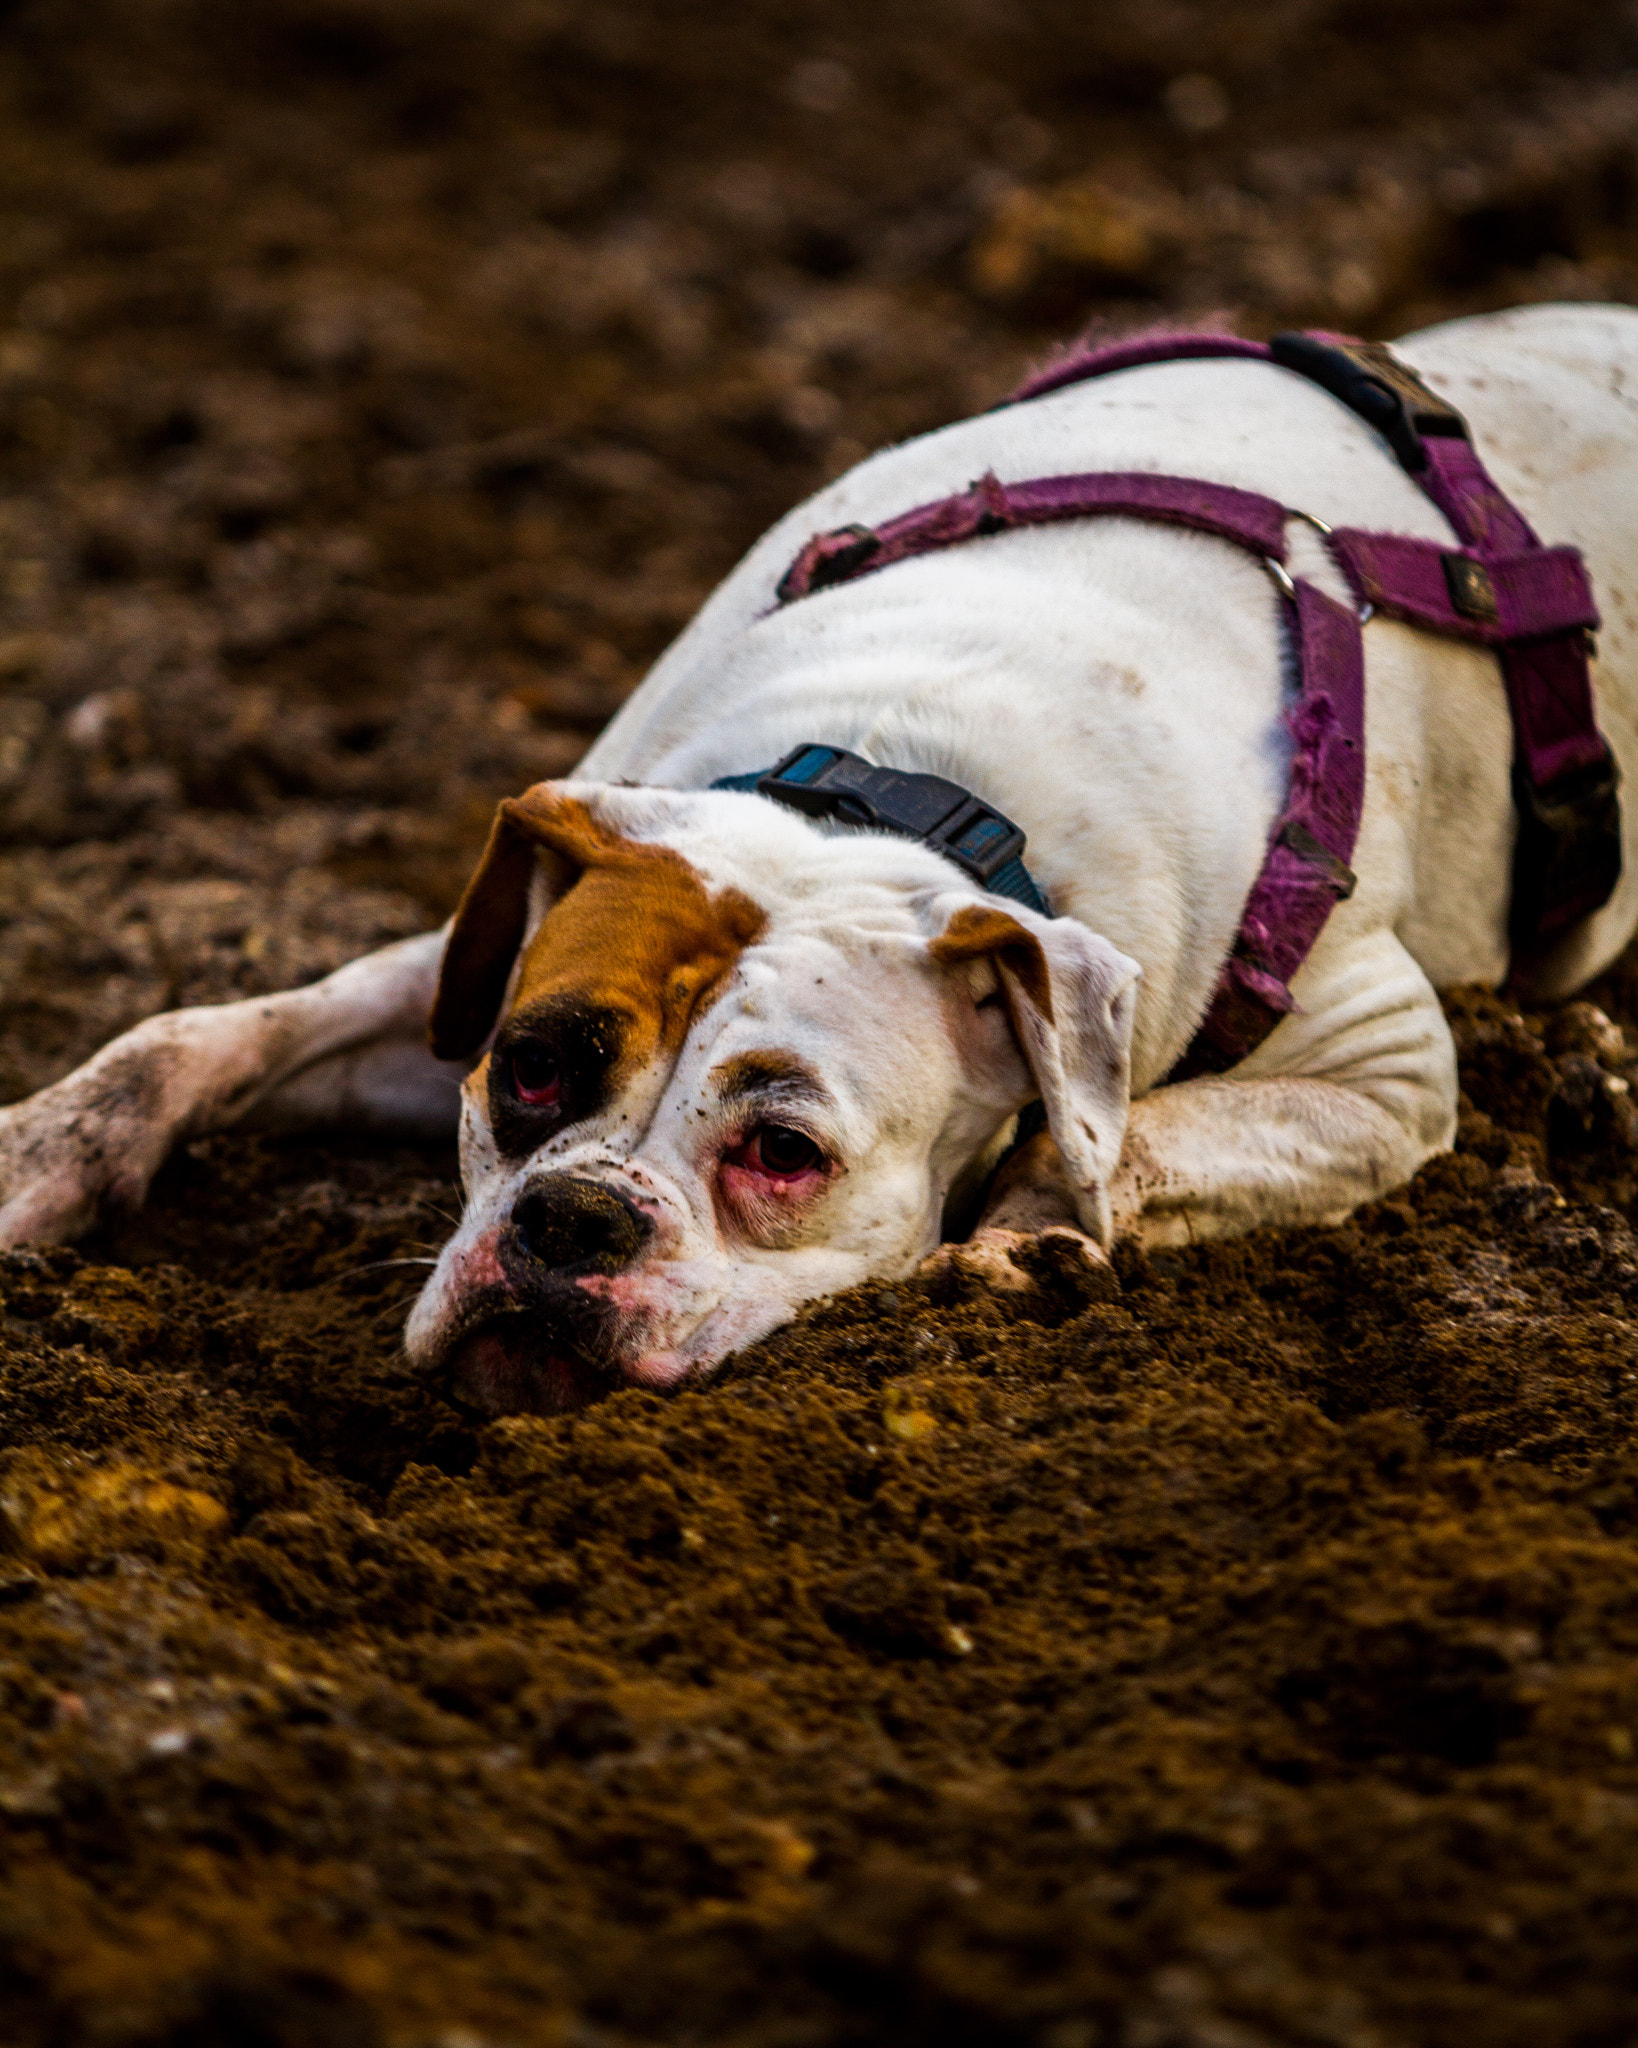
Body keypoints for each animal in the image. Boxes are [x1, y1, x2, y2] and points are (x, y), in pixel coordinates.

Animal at [3, 303, 1637, 1417]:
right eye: (528, 1072)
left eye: (783, 1155)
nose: (569, 1218)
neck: (893, 779)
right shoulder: (479, 965)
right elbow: (205, 1032)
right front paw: (37, 1150)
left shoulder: (1388, 1074)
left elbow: (1117, 1137)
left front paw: (1034, 1230)